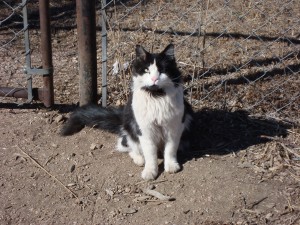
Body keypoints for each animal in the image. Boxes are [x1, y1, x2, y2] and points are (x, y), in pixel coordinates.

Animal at [60, 44, 195, 180]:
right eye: (147, 70)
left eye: (162, 70)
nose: (154, 79)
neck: (156, 96)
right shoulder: (145, 130)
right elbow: (150, 154)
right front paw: (150, 172)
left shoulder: (174, 127)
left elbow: (170, 149)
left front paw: (171, 166)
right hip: (131, 129)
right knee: (126, 145)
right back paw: (140, 159)